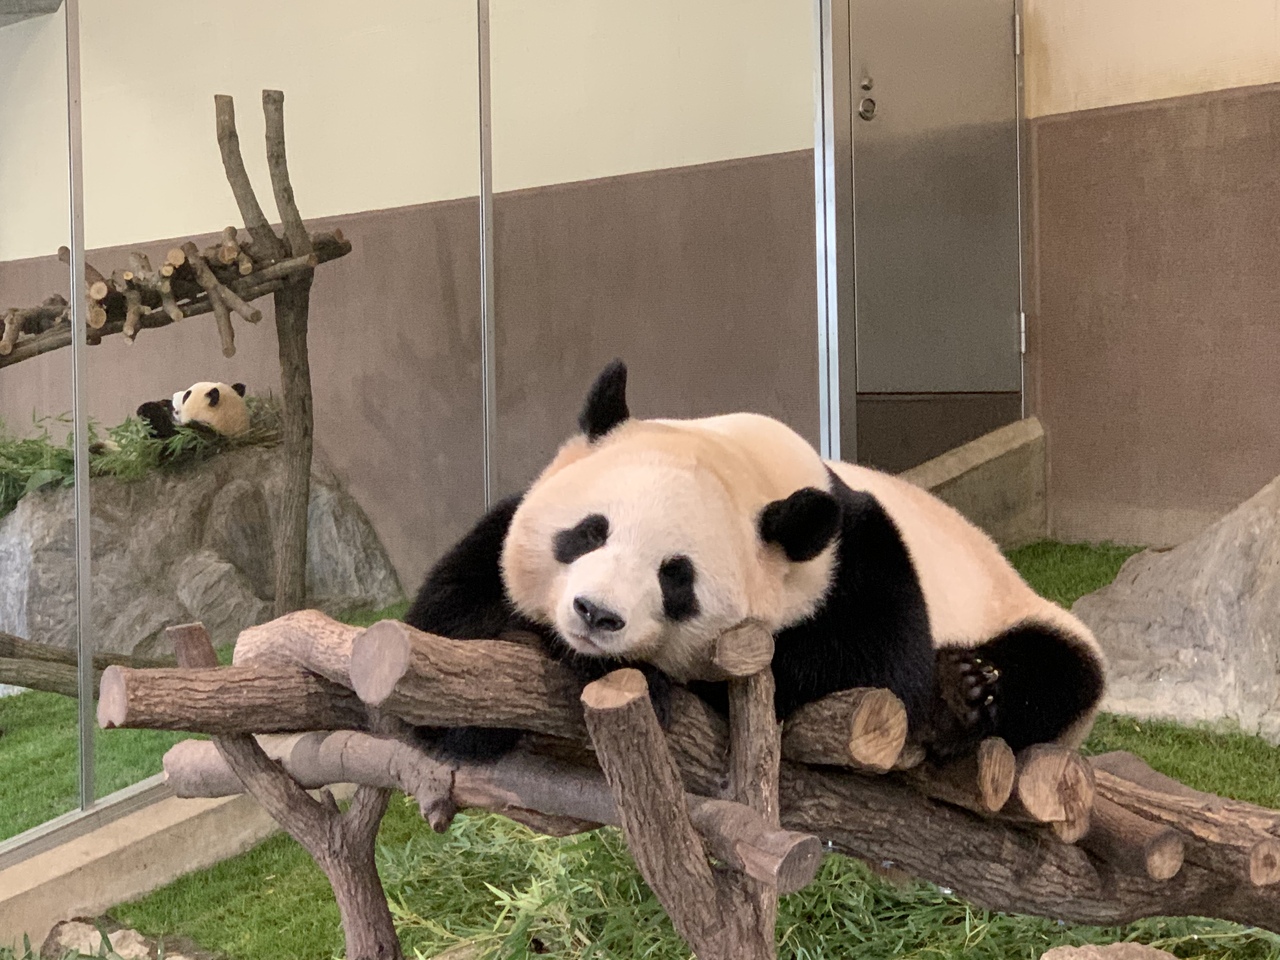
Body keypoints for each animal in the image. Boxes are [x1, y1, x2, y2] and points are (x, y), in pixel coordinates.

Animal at [404, 360, 1105, 768]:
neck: (755, 463)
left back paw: (964, 691)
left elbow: (869, 667)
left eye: (675, 577)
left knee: (1058, 672)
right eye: (587, 533)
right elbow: (444, 654)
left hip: (1011, 608)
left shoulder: (861, 562)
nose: (596, 615)